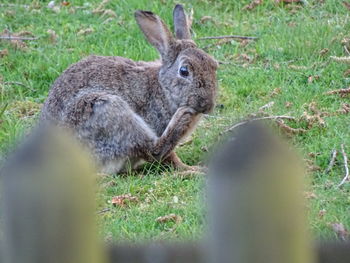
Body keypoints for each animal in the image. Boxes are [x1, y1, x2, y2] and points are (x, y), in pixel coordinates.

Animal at [39, 4, 217, 175]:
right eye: (184, 71)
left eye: (214, 65)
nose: (207, 105)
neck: (164, 89)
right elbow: (169, 157)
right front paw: (188, 167)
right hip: (104, 109)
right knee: (152, 150)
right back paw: (183, 120)